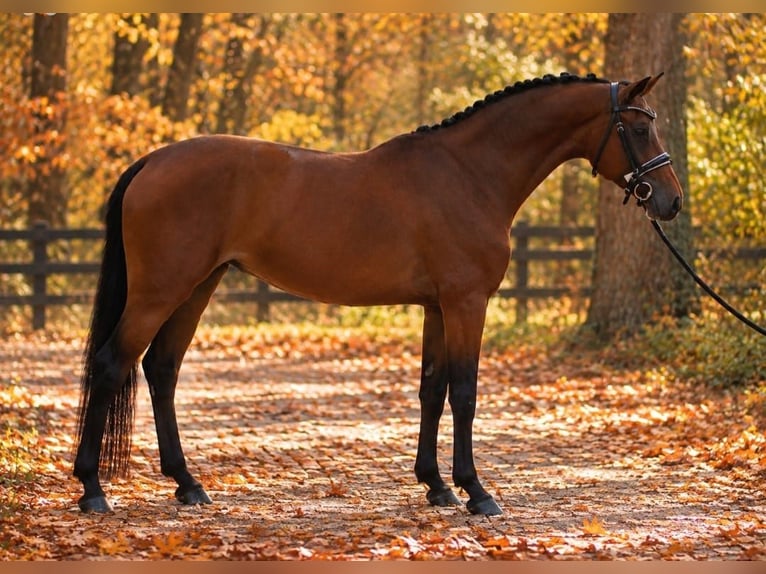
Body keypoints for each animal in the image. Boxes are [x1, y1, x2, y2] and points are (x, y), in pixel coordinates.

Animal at [73, 72, 683, 516]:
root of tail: (153, 160)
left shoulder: (438, 306)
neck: (470, 173)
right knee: (111, 365)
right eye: (639, 130)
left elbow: (432, 389)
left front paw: (436, 486)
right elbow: (465, 392)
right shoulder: (466, 302)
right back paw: (93, 490)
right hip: (160, 290)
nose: (670, 201)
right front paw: (477, 492)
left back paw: (187, 484)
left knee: (161, 370)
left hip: (197, 286)